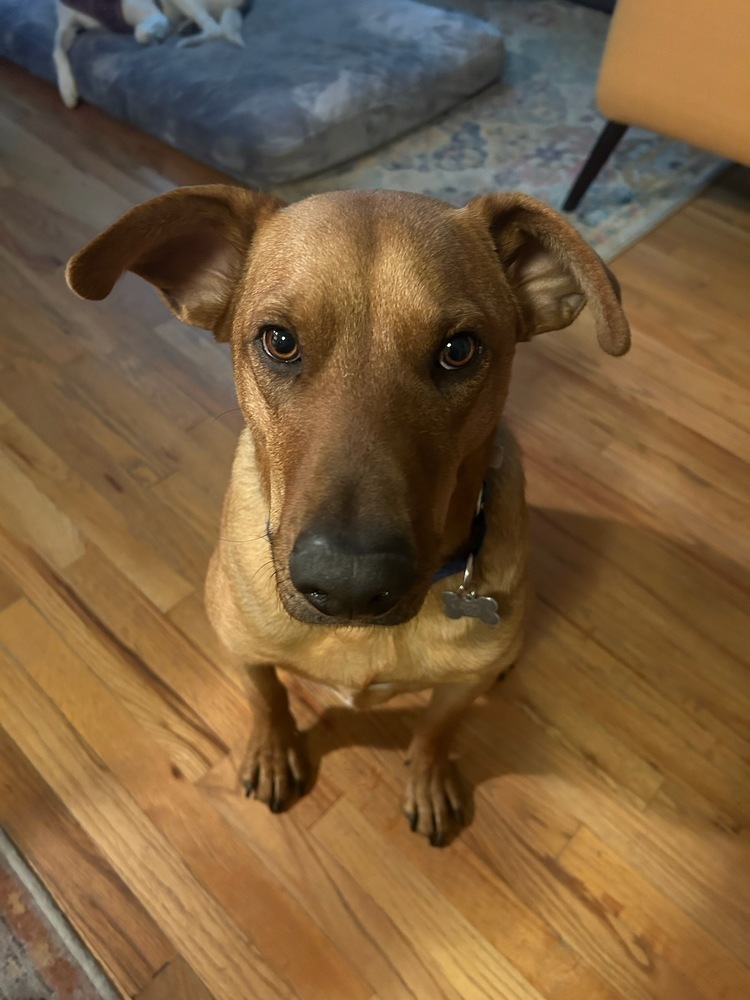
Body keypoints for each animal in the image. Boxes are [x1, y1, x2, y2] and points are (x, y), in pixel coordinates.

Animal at [67, 186, 632, 844]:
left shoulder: (459, 685)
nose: (352, 585)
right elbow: (267, 700)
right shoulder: (240, 647)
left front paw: (428, 776)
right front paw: (273, 751)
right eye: (279, 341)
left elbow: (436, 728)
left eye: (458, 350)